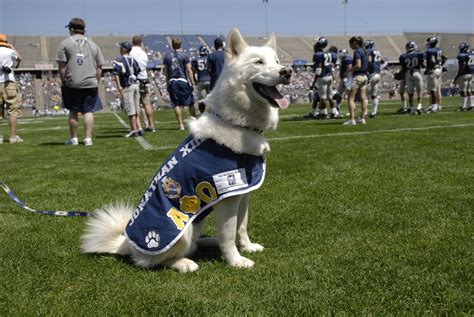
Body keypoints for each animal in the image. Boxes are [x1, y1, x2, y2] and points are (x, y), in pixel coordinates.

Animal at [79, 28, 290, 272]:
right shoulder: (228, 197)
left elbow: (242, 226)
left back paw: (208, 241)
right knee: (158, 261)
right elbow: (228, 234)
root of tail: (126, 244)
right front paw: (236, 261)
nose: (287, 72)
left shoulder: (243, 192)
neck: (237, 123)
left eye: (277, 61)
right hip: (183, 228)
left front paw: (247, 247)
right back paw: (185, 263)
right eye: (258, 62)